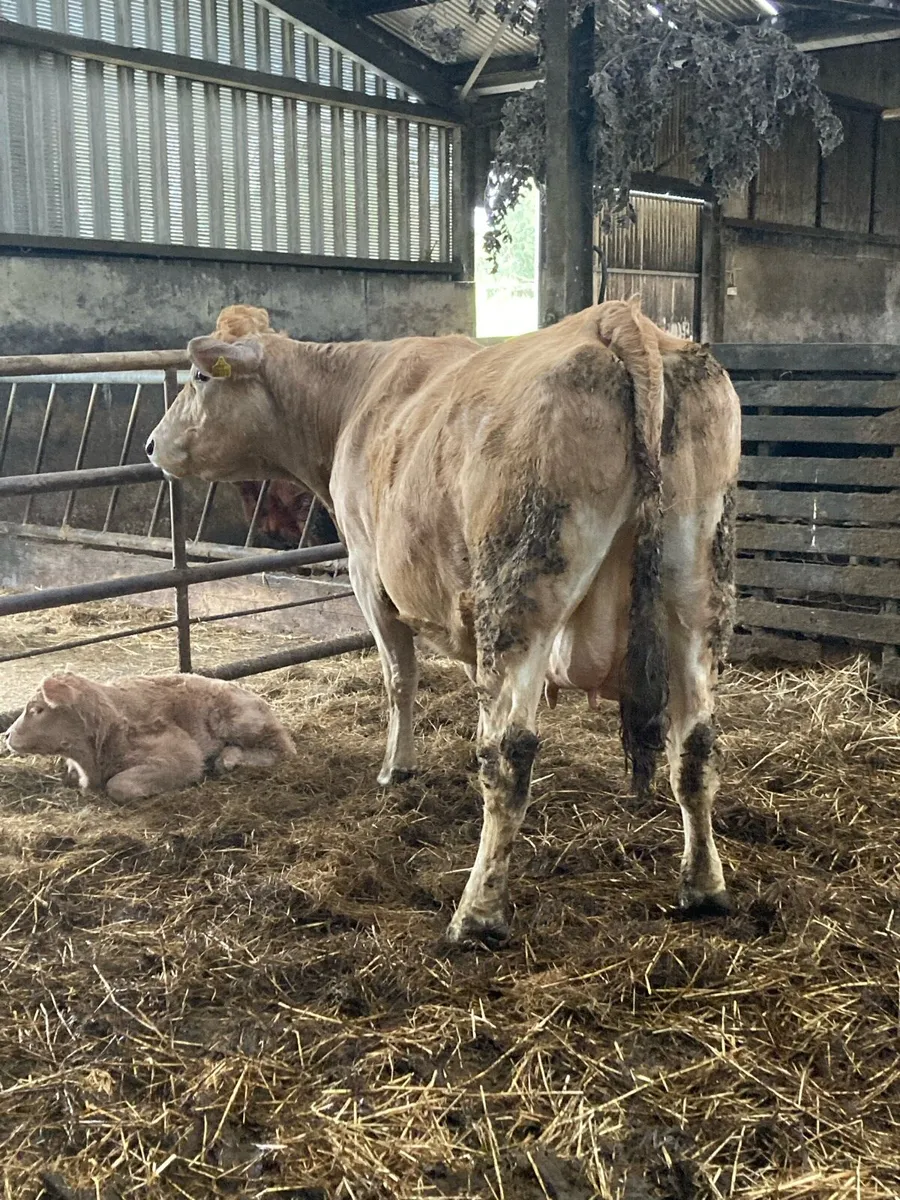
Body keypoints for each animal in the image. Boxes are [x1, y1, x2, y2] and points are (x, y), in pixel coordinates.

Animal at [5, 671, 296, 801]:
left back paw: (229, 759)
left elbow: (119, 785)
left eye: (37, 709)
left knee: (283, 749)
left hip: (238, 722)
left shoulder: (181, 753)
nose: (6, 734)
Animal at [146, 300, 741, 944]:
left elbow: (399, 679)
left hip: (521, 590)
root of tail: (619, 321)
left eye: (200, 377)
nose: (151, 445)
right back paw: (704, 887)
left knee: (509, 754)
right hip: (696, 590)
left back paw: (476, 913)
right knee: (695, 744)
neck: (352, 397)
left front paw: (396, 768)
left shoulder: (368, 573)